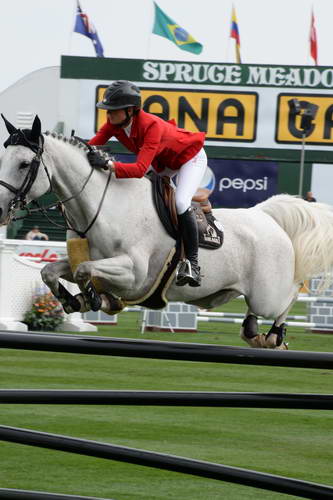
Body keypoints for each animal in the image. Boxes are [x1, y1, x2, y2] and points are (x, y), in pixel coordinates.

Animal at [0, 114, 332, 350]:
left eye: (25, 163)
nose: (1, 209)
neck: (103, 205)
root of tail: (265, 216)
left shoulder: (134, 273)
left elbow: (85, 272)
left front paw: (97, 299)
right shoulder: (87, 260)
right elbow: (50, 272)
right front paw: (76, 301)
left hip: (268, 294)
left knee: (290, 294)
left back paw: (273, 335)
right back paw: (254, 332)